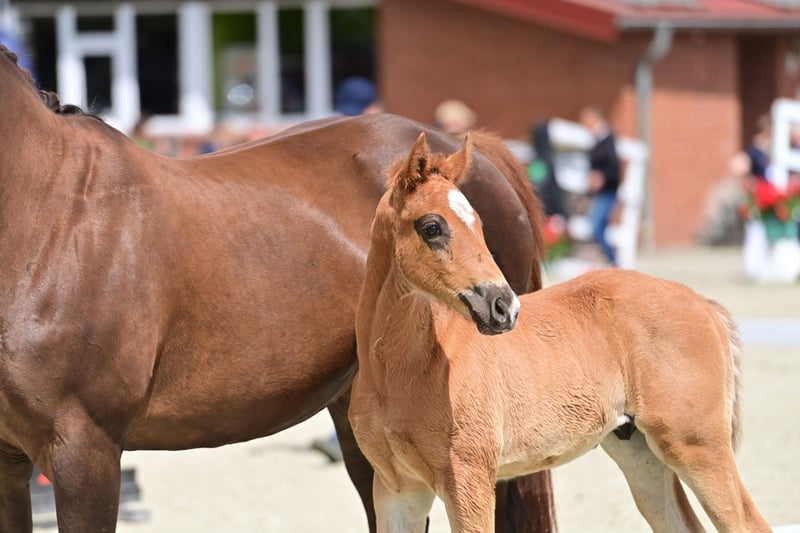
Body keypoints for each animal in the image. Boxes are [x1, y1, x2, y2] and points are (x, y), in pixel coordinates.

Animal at [0, 46, 555, 532]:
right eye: (432, 227)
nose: (498, 304)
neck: (53, 213)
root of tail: (468, 149)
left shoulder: (86, 453)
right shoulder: (12, 461)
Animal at [349, 133, 771, 533]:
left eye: (481, 225)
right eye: (432, 227)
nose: (503, 306)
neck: (401, 369)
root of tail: (705, 305)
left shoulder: (468, 480)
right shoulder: (397, 489)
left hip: (697, 446)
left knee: (748, 523)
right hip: (640, 450)